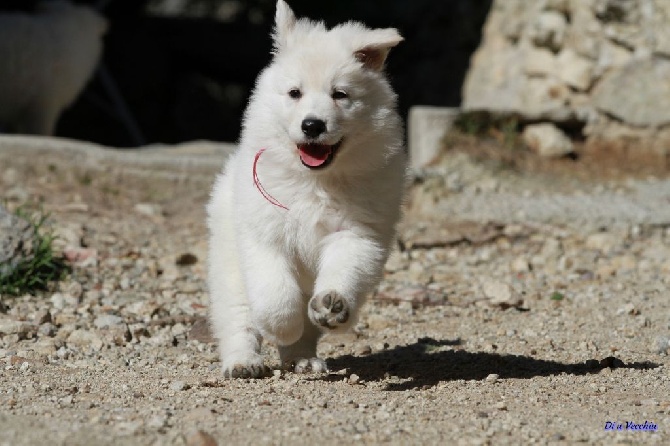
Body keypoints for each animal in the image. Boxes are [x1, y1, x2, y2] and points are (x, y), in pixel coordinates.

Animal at [209, 0, 404, 378]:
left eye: (340, 94)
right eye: (294, 93)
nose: (312, 125)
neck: (315, 181)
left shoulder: (357, 233)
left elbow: (345, 271)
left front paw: (332, 306)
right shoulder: (264, 236)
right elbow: (276, 297)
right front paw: (283, 327)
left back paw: (302, 358)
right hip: (229, 263)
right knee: (238, 316)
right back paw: (243, 362)